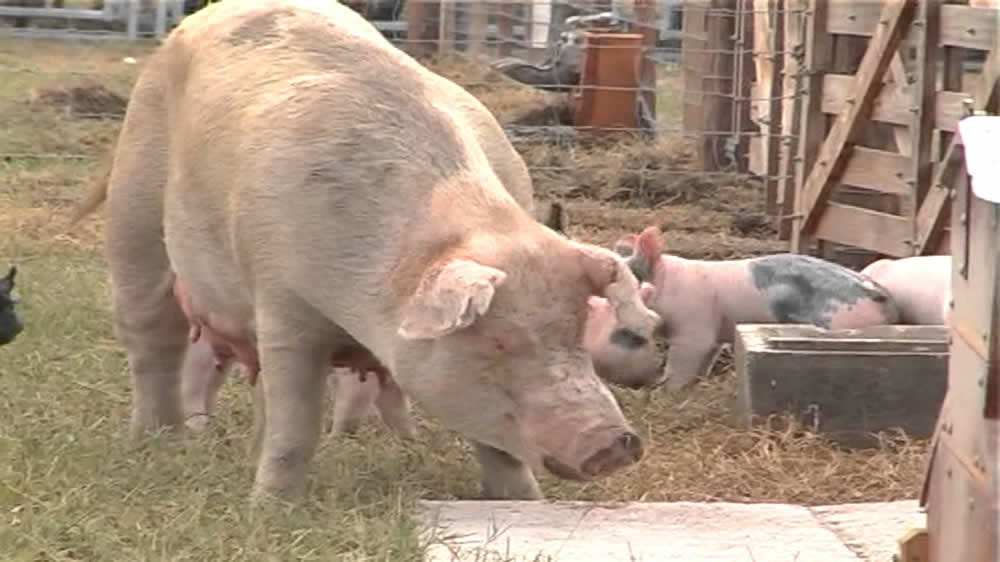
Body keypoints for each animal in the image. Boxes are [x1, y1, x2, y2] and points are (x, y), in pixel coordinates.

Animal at [72, 0, 664, 498]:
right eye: (497, 342)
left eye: (577, 331)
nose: (615, 443)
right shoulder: (283, 302)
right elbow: (296, 422)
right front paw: (271, 509)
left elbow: (498, 445)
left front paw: (525, 505)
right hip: (135, 205)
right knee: (152, 336)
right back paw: (155, 445)